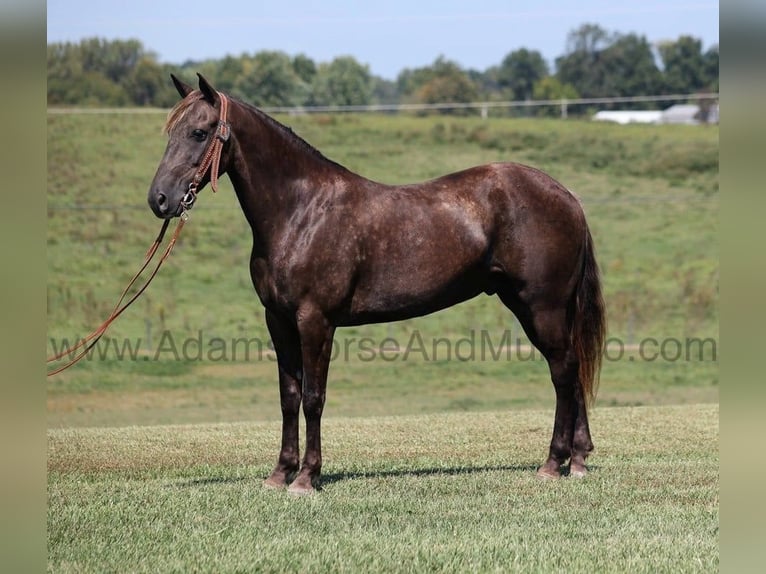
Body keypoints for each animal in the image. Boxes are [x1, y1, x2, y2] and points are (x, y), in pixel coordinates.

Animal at [148, 74, 606, 494]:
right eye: (170, 132)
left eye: (199, 132)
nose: (160, 199)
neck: (302, 211)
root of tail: (566, 195)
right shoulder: (278, 320)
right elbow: (288, 396)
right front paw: (280, 474)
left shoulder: (316, 321)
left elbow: (313, 397)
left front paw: (307, 478)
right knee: (572, 370)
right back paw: (578, 459)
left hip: (541, 306)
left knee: (563, 371)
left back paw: (553, 463)